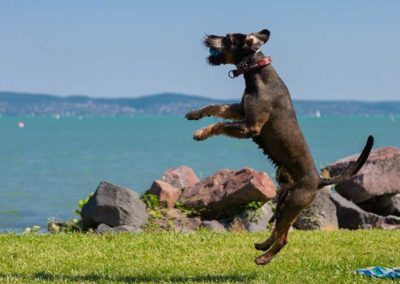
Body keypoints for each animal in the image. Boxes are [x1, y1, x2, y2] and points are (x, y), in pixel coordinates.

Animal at [186, 30, 374, 266]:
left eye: (228, 37)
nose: (209, 36)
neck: (259, 72)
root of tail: (319, 180)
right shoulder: (239, 110)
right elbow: (216, 107)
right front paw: (194, 114)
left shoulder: (250, 126)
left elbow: (220, 125)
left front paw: (200, 133)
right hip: (283, 203)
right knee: (277, 229)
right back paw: (263, 244)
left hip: (293, 204)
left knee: (284, 239)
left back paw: (264, 258)